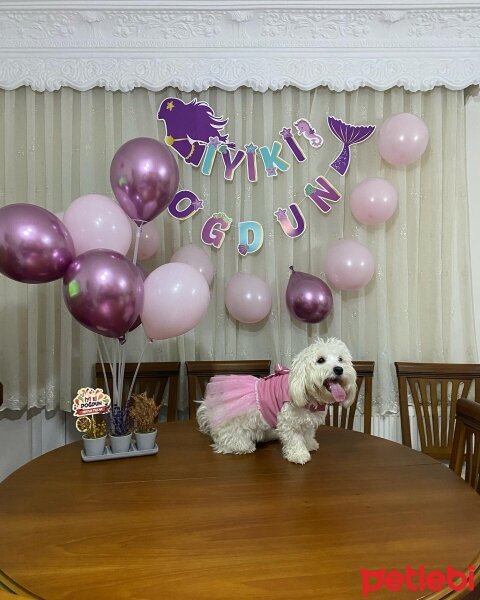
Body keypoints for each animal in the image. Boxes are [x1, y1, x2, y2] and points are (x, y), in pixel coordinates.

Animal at [195, 338, 356, 464]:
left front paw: (310, 444)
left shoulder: (307, 421)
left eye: (341, 359)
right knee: (229, 442)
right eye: (320, 360)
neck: (308, 393)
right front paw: (299, 455)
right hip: (234, 430)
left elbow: (308, 433)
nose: (339, 369)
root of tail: (209, 409)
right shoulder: (289, 422)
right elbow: (294, 439)